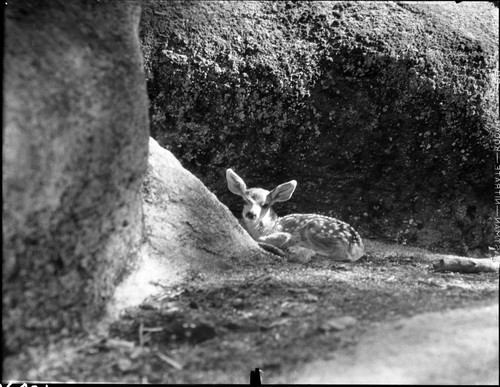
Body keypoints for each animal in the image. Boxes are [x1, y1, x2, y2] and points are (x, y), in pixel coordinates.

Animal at [226, 168, 364, 262]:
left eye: (265, 205)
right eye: (245, 201)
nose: (251, 214)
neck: (268, 227)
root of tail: (357, 246)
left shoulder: (284, 233)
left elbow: (267, 238)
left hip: (317, 229)